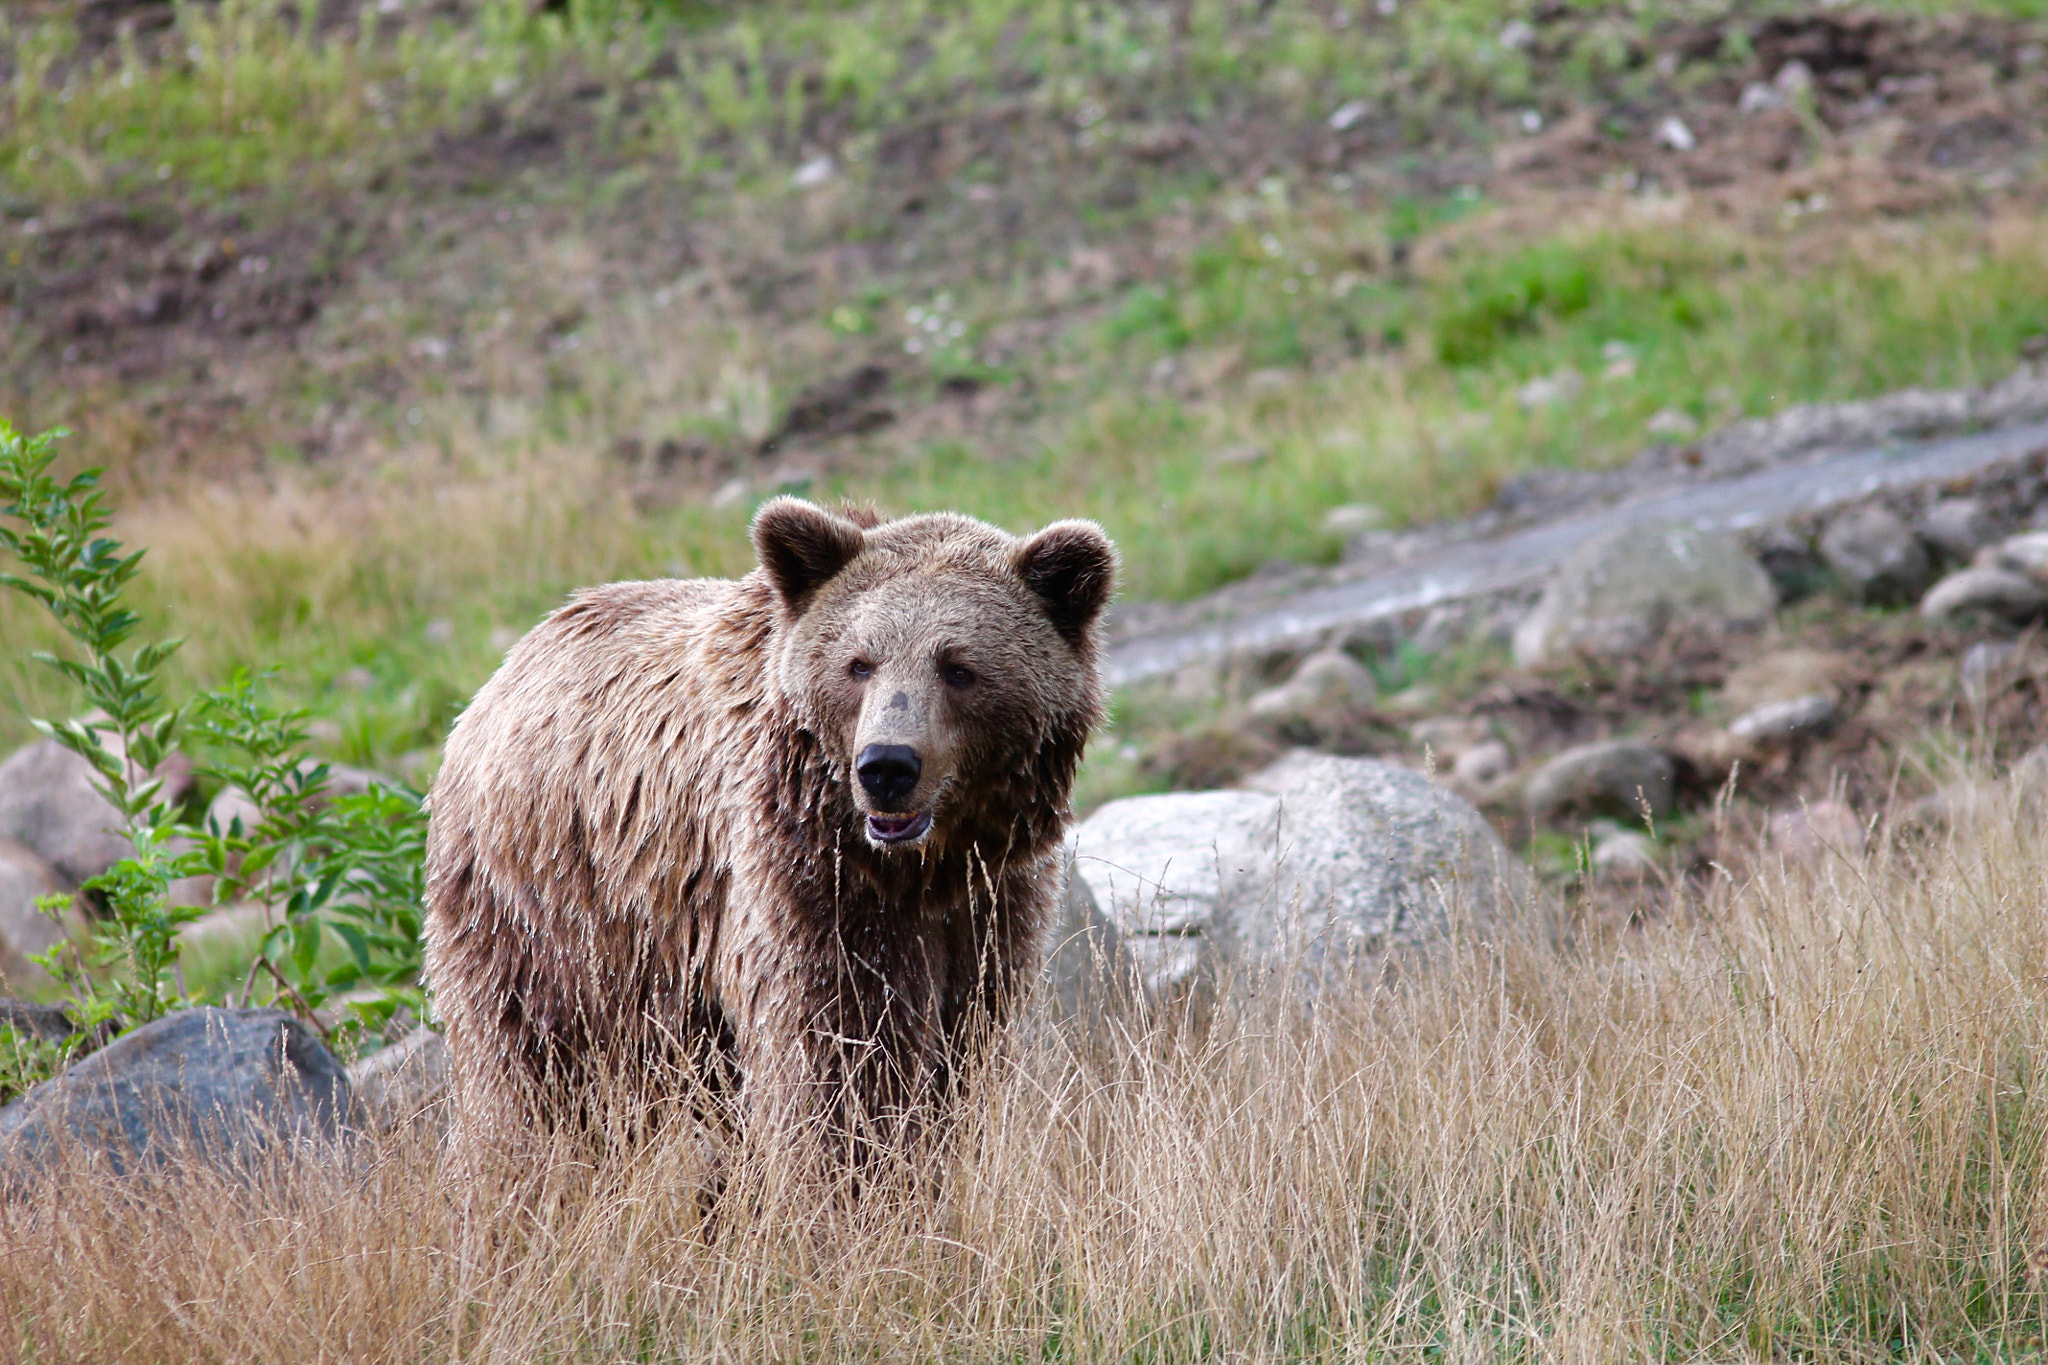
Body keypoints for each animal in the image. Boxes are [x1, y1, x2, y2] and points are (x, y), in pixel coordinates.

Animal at [419, 497, 1122, 1170]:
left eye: (958, 667)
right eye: (859, 663)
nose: (886, 766)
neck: (916, 866)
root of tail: (502, 673)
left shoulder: (990, 900)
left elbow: (963, 1044)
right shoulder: (802, 883)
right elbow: (840, 1050)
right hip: (550, 916)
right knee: (532, 1074)